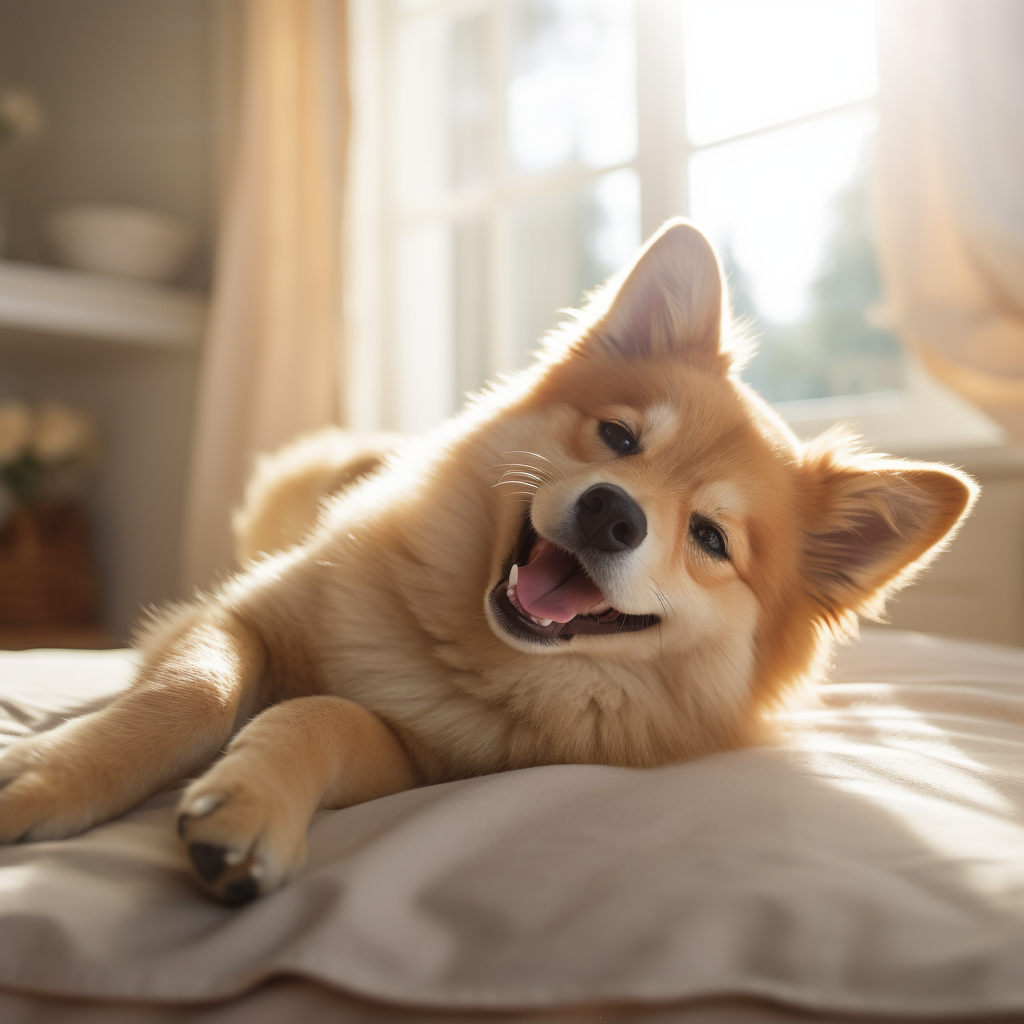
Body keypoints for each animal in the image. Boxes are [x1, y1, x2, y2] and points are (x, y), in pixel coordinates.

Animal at [0, 222, 974, 905]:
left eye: (709, 539)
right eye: (619, 438)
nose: (613, 513)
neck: (456, 643)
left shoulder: (414, 763)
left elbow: (322, 714)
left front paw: (249, 798)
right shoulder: (231, 617)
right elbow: (188, 693)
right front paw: (49, 775)